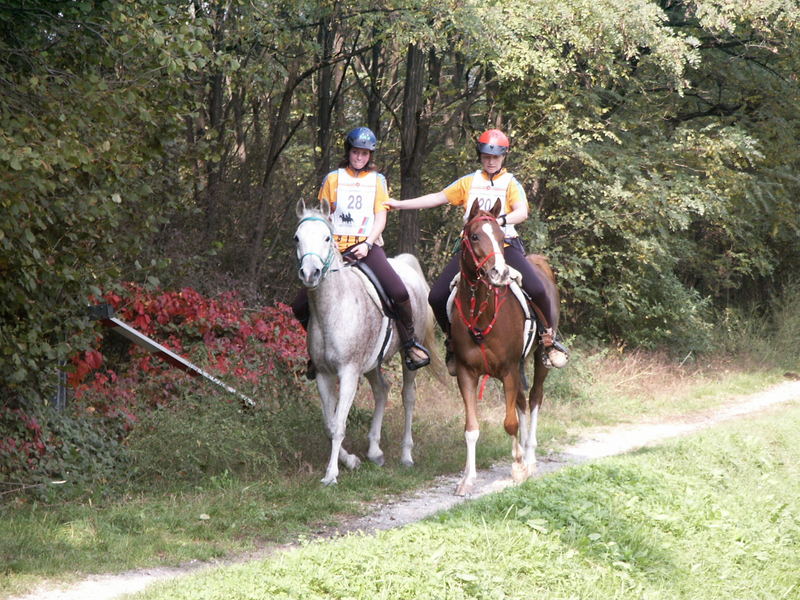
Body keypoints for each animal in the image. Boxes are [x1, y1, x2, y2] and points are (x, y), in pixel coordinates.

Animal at [450, 199, 556, 494]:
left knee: (534, 398)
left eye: (500, 237)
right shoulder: (466, 373)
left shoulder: (508, 370)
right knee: (520, 401)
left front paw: (519, 466)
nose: (501, 272)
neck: (481, 314)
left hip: (539, 359)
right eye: (475, 236)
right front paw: (467, 479)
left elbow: (509, 423)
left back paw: (529, 458)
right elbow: (471, 428)